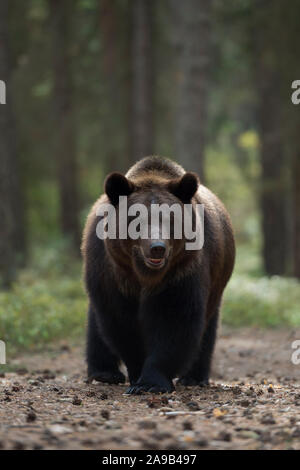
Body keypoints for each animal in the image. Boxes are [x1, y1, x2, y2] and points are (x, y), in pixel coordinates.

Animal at [81, 155, 234, 392]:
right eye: (136, 219)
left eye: (171, 218)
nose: (157, 247)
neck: (144, 275)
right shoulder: (113, 273)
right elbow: (121, 322)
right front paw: (137, 374)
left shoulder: (182, 271)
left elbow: (174, 320)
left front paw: (151, 381)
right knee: (97, 324)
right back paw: (104, 373)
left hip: (217, 280)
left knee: (207, 328)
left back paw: (194, 377)